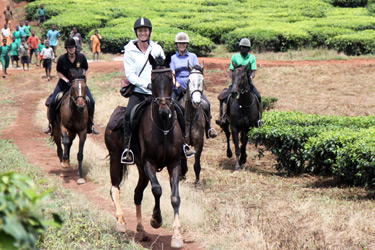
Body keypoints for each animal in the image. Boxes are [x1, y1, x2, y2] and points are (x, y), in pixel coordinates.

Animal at [104, 54, 185, 248]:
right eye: (153, 80)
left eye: (170, 78)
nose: (164, 110)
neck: (163, 128)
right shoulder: (149, 163)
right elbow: (157, 190)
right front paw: (156, 220)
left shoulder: (174, 163)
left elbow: (175, 197)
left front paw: (177, 235)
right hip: (116, 159)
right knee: (114, 188)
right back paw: (121, 221)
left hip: (141, 170)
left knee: (137, 194)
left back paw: (141, 230)